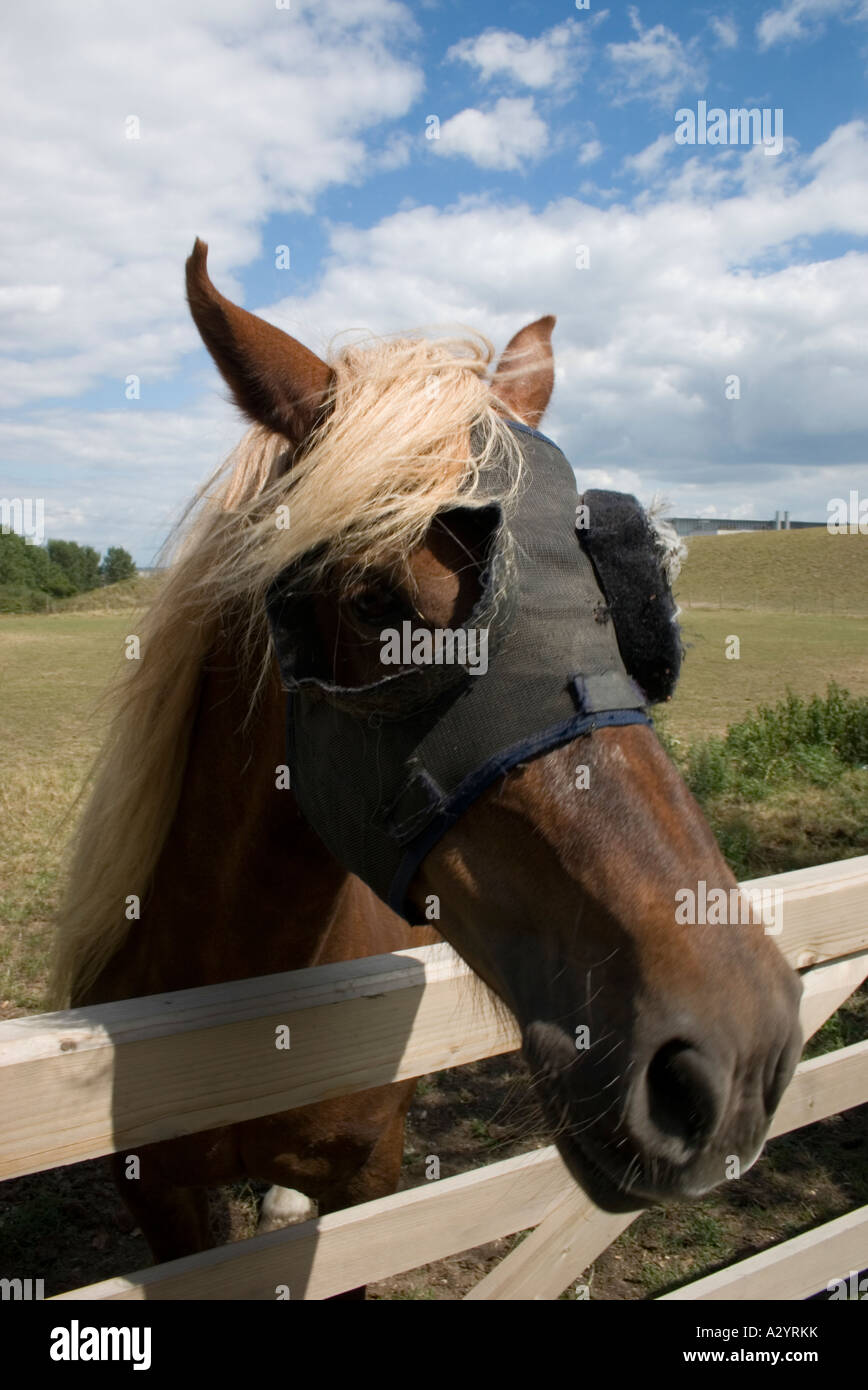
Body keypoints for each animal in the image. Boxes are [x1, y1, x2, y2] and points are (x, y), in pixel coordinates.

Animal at [51, 240, 802, 1294]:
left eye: (614, 600)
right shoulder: (163, 1203)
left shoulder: (368, 1186)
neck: (236, 1012)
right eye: (374, 601)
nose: (735, 1056)